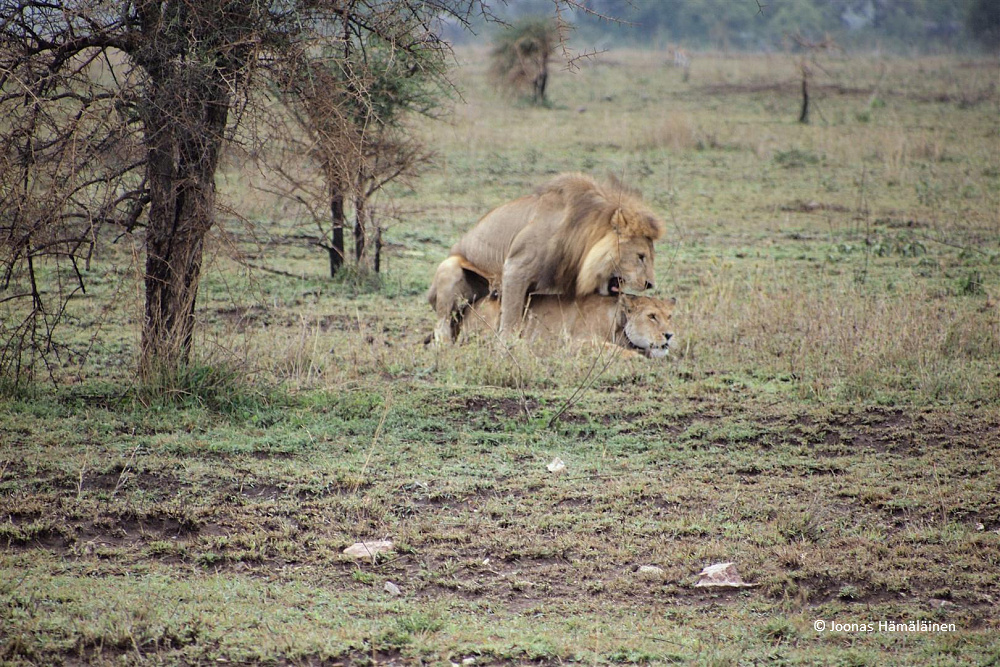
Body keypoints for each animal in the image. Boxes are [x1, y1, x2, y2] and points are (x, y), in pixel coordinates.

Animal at [428, 172, 664, 344]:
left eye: (651, 257)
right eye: (641, 256)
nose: (650, 284)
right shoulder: (515, 268)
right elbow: (510, 319)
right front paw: (506, 348)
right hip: (449, 269)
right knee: (441, 326)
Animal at [462, 294, 680, 360]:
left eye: (669, 316)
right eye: (652, 316)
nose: (669, 335)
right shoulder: (575, 343)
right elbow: (615, 350)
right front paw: (638, 358)